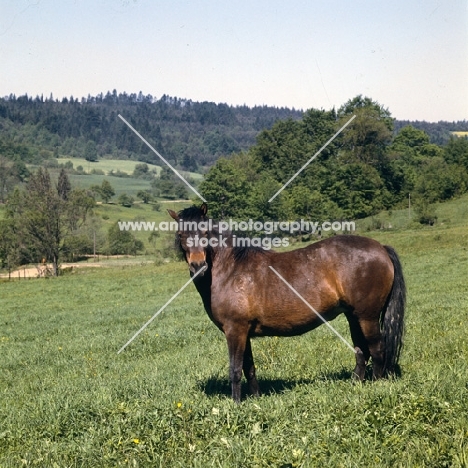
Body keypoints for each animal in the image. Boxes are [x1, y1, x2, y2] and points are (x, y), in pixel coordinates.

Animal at [168, 204, 406, 402]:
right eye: (181, 234)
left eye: (205, 233)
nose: (198, 267)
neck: (232, 270)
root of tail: (381, 248)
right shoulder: (244, 332)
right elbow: (249, 367)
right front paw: (255, 399)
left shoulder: (235, 330)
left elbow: (235, 370)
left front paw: (235, 404)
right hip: (353, 316)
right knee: (361, 350)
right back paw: (355, 384)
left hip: (367, 317)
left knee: (377, 349)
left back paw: (375, 386)